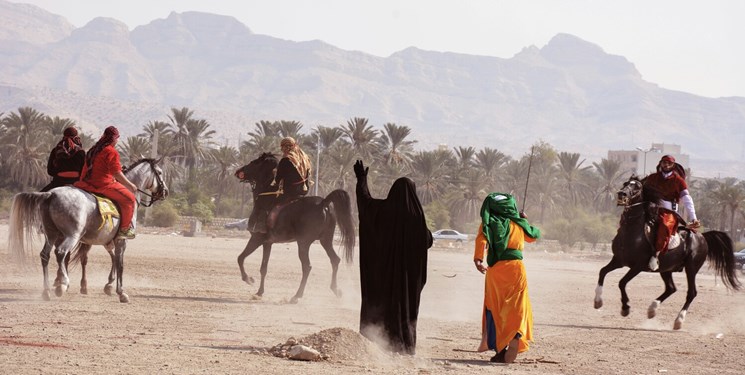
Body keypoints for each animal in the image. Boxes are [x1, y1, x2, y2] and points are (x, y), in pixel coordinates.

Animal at [7, 158, 167, 302]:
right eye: (159, 172)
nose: (165, 191)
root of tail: (51, 194)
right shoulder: (121, 240)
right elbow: (120, 263)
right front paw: (121, 292)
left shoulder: (107, 241)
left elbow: (113, 258)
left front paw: (109, 285)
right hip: (71, 236)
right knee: (61, 253)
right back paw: (63, 284)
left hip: (51, 235)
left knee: (45, 255)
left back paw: (46, 291)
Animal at [237, 154, 356, 304]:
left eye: (254, 162)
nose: (239, 171)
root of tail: (323, 203)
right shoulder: (267, 243)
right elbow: (263, 268)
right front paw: (259, 292)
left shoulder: (256, 238)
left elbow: (240, 258)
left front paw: (248, 279)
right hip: (325, 240)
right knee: (335, 260)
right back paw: (336, 290)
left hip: (303, 242)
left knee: (307, 266)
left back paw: (296, 296)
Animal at [592, 176, 740, 328]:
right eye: (625, 184)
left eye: (637, 187)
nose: (622, 194)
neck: (632, 232)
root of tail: (702, 236)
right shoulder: (618, 260)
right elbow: (602, 272)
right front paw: (598, 301)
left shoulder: (637, 266)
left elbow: (622, 282)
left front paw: (625, 308)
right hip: (666, 269)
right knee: (671, 288)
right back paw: (652, 309)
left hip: (691, 268)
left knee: (691, 292)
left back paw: (678, 320)